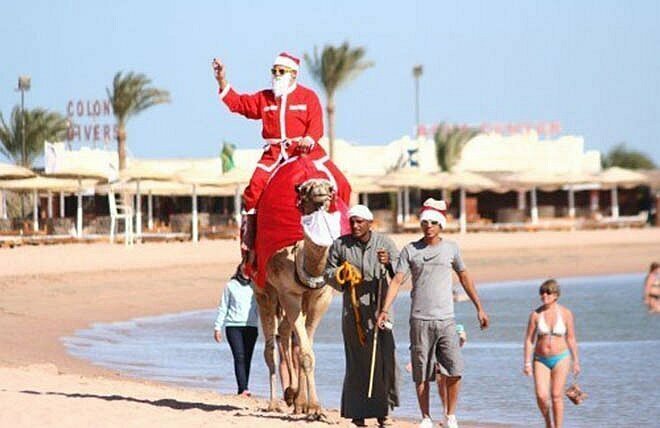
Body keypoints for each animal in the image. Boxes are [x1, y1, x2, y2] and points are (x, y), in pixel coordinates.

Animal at [251, 176, 338, 418]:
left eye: (330, 188)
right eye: (305, 189)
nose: (321, 195)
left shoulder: (321, 297)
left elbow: (305, 347)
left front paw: (305, 404)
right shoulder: (289, 293)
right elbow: (305, 352)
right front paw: (314, 408)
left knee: (286, 333)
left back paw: (292, 394)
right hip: (265, 292)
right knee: (270, 347)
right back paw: (274, 402)